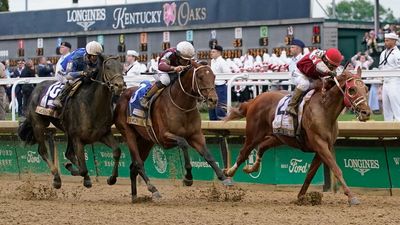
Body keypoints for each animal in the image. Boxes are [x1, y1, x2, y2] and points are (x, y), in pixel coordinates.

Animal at [18, 55, 125, 189]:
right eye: (108, 67)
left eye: (122, 68)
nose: (120, 85)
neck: (92, 104)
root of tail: (36, 87)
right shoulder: (77, 138)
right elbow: (83, 169)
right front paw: (85, 179)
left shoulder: (103, 134)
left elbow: (117, 151)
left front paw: (112, 178)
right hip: (39, 124)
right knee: (43, 151)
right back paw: (56, 178)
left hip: (67, 131)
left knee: (68, 154)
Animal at [112, 60, 233, 202]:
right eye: (200, 77)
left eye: (214, 76)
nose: (213, 100)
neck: (182, 105)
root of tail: (122, 96)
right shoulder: (164, 137)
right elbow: (183, 143)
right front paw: (188, 178)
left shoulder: (196, 136)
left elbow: (208, 155)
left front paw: (224, 178)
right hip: (128, 134)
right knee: (138, 163)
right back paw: (153, 190)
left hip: (145, 141)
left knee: (133, 167)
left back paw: (135, 196)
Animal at [223, 67, 370, 205]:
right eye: (352, 90)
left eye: (366, 89)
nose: (366, 113)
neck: (324, 109)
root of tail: (254, 100)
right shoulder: (320, 144)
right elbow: (336, 169)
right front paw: (352, 197)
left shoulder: (323, 148)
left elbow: (310, 174)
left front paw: (301, 197)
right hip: (254, 135)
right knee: (243, 153)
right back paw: (229, 173)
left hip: (278, 137)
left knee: (262, 147)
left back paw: (252, 168)